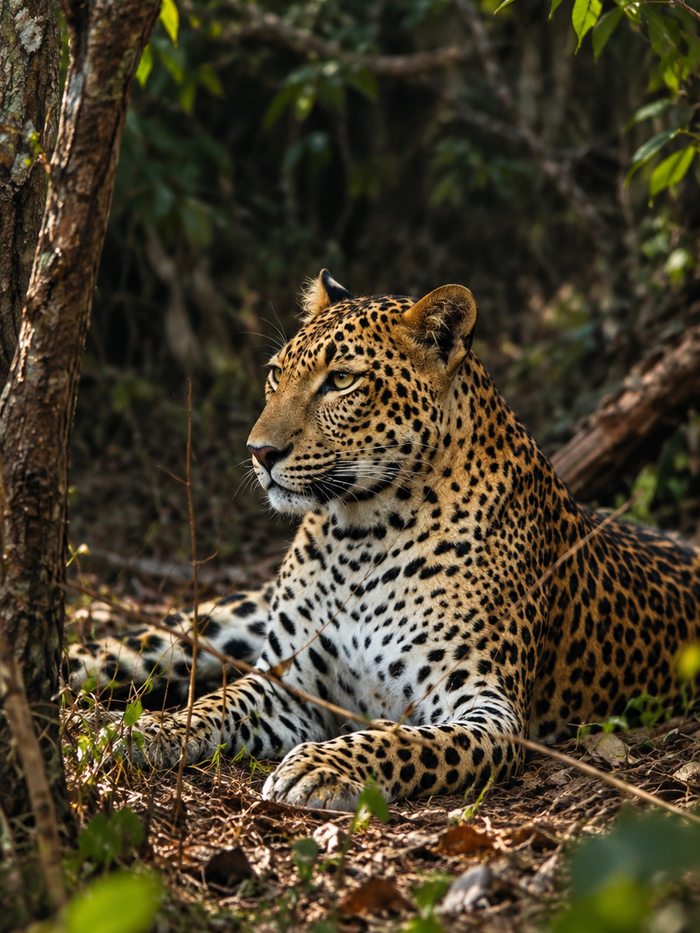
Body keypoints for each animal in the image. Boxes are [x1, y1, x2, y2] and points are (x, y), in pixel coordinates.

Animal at [67, 270, 700, 811]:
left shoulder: (488, 712)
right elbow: (214, 704)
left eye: (342, 381)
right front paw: (144, 730)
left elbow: (403, 740)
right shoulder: (287, 685)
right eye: (275, 374)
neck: (362, 534)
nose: (259, 452)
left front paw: (321, 767)